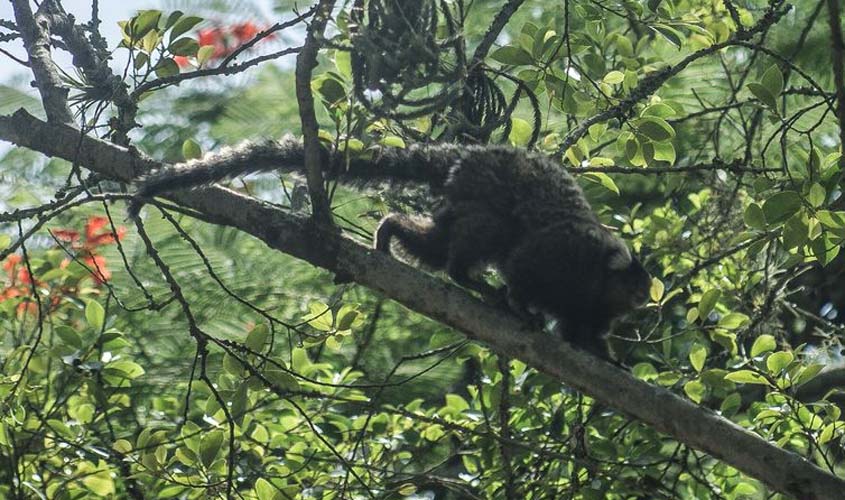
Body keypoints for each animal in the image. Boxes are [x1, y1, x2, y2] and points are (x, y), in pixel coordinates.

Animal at [129, 137, 648, 360]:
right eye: (636, 285)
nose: (647, 299)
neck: (595, 279)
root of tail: (466, 156)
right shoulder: (561, 255)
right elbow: (523, 267)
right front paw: (521, 306)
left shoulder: (591, 310)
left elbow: (583, 334)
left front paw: (607, 359)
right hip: (485, 191)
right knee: (489, 234)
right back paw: (471, 280)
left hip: (457, 201)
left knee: (438, 244)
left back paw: (393, 231)